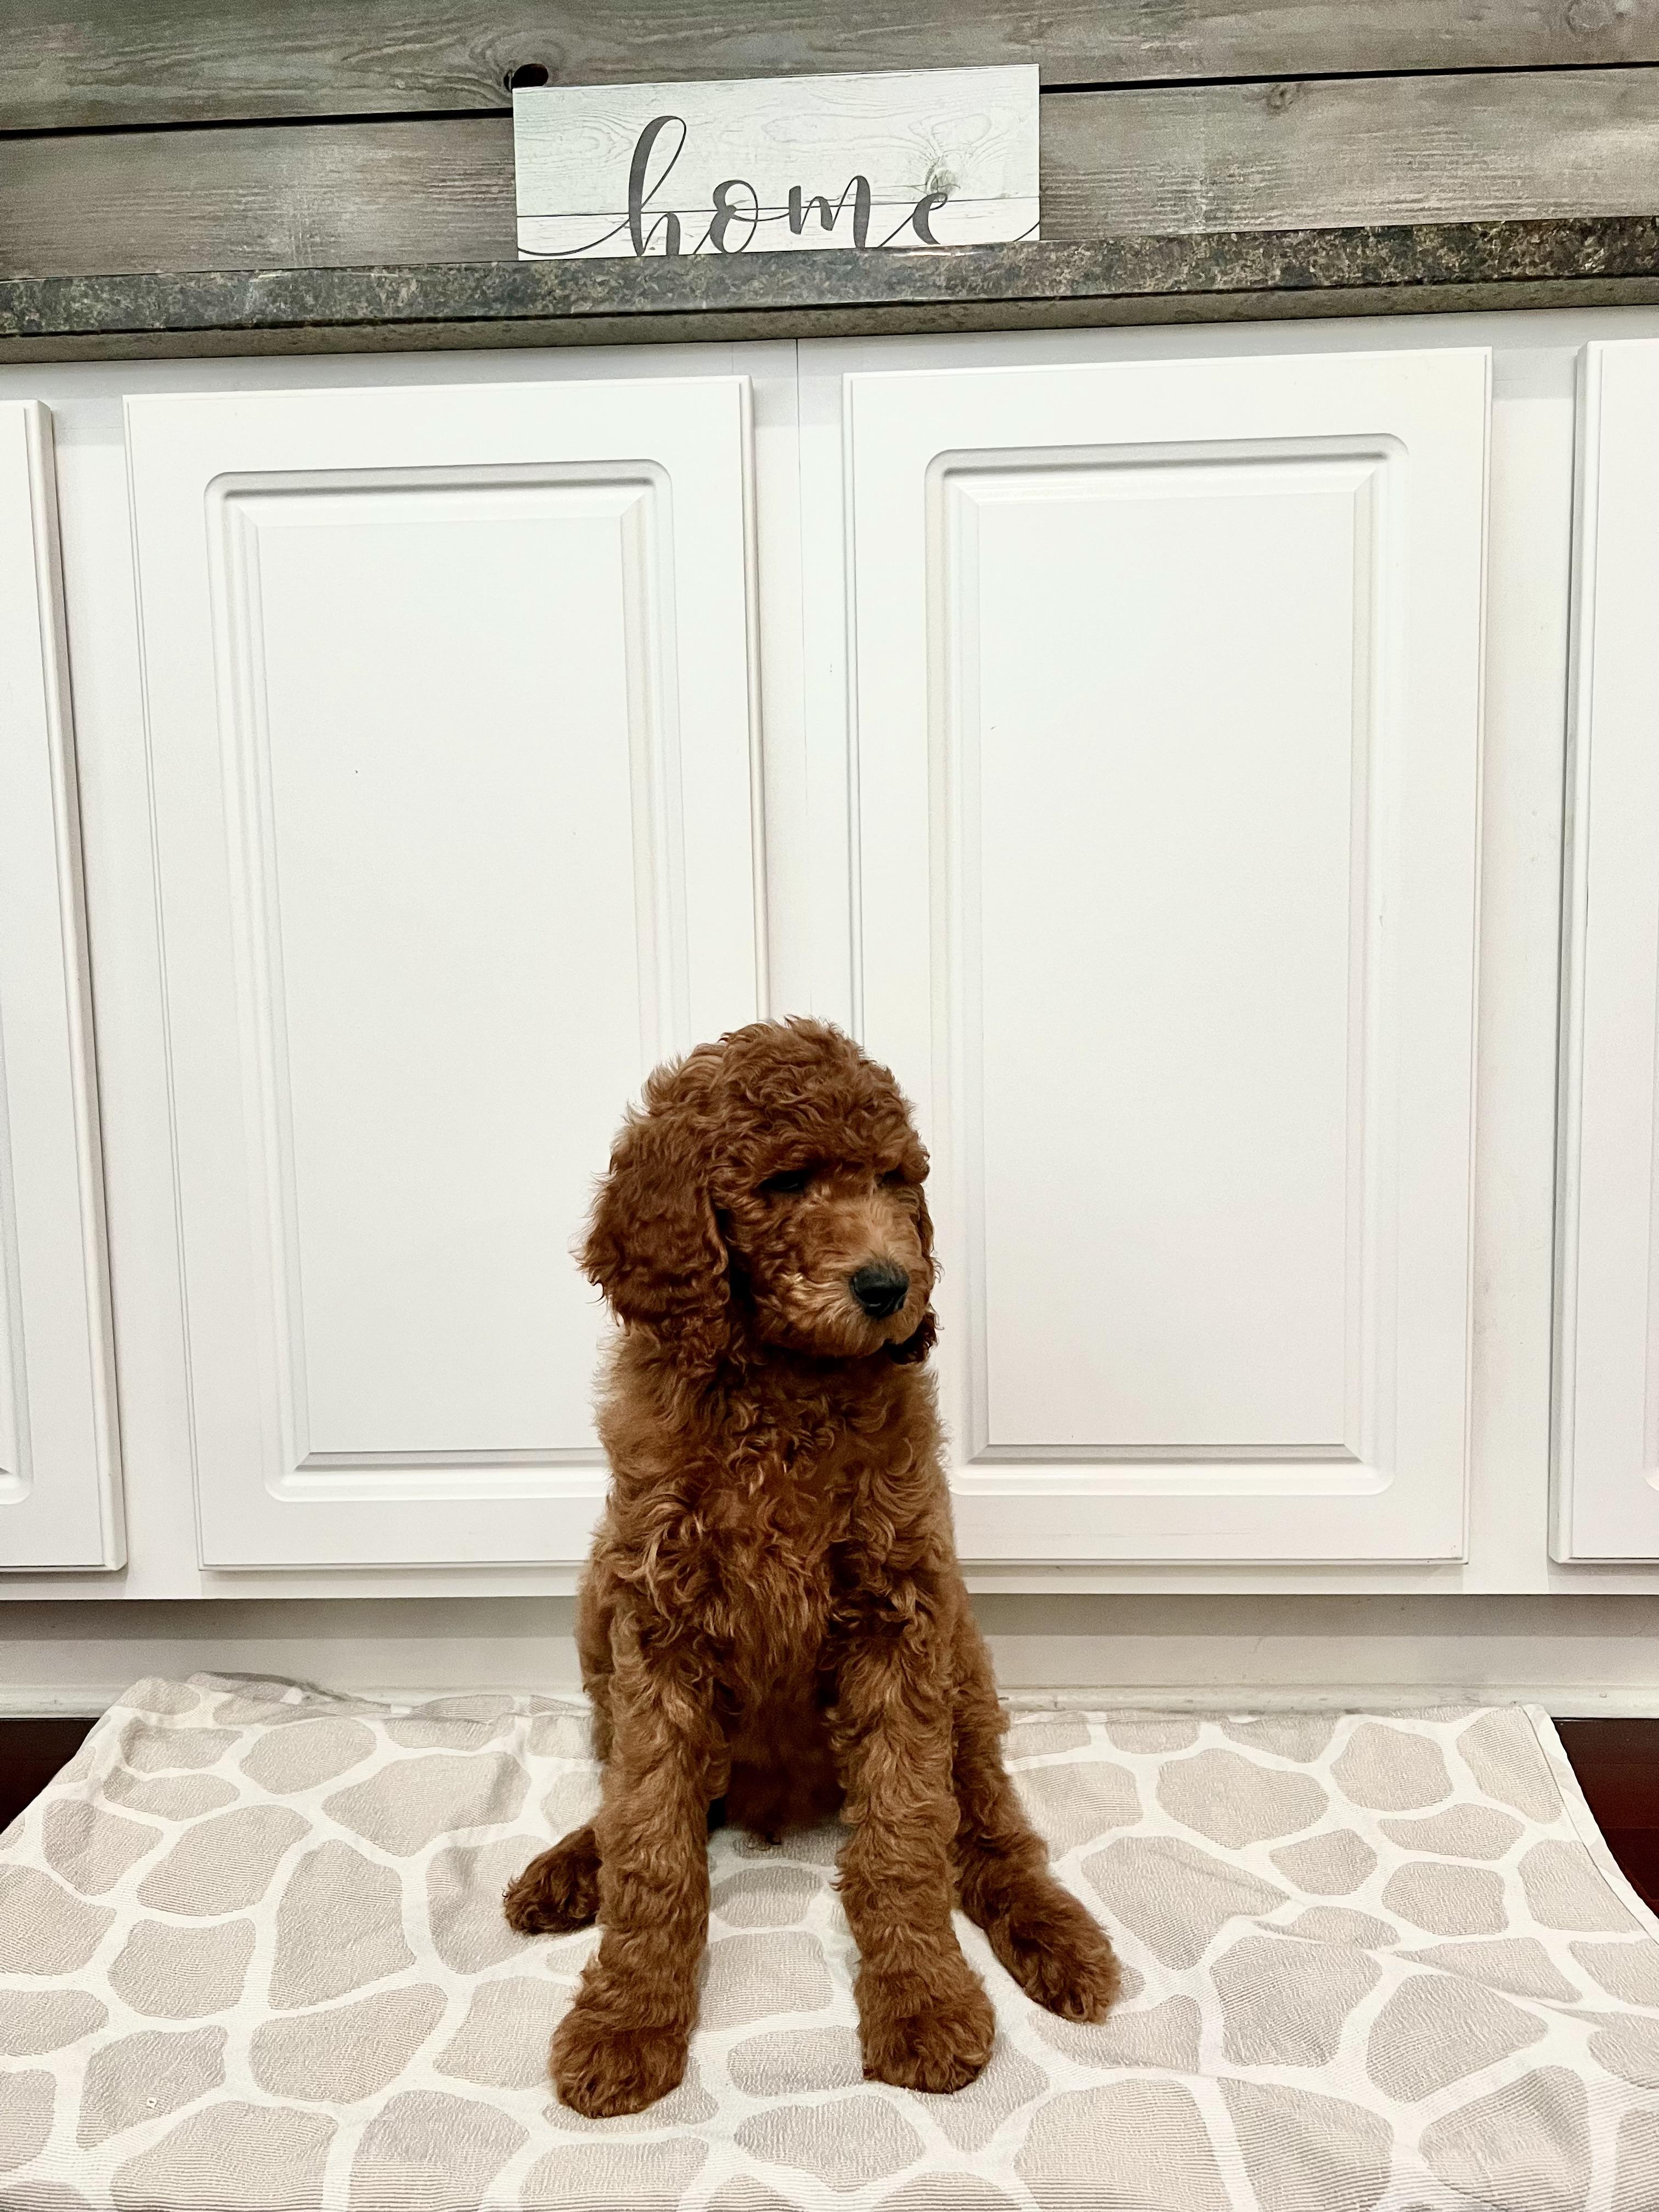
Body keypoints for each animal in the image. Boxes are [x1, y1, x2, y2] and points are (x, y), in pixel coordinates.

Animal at [504, 1018, 1120, 2117]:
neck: (784, 1387)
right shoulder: (656, 1626)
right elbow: (650, 1840)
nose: (889, 1287)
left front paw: (924, 2004)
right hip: (596, 1617)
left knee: (991, 1827)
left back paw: (1057, 1934)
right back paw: (569, 1868)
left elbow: (905, 1836)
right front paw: (627, 2022)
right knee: (623, 1798)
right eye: (786, 1181)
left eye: (893, 1178)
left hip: (965, 1672)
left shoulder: (898, 1617)